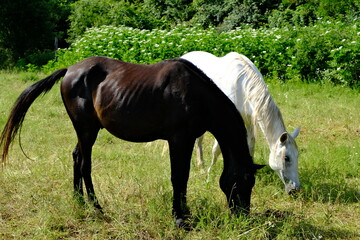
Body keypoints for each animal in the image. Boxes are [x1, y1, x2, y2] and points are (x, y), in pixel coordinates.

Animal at [0, 55, 264, 227]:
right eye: (244, 182)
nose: (243, 217)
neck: (196, 94)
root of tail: (70, 70)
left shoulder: (187, 140)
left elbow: (184, 177)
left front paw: (185, 212)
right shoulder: (179, 139)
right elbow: (178, 177)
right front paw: (179, 217)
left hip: (86, 131)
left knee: (76, 157)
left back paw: (79, 201)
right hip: (86, 130)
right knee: (85, 164)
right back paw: (97, 208)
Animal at [183, 50, 300, 193]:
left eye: (298, 155)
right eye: (286, 158)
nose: (295, 189)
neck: (242, 86)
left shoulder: (248, 122)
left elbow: (250, 146)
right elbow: (216, 150)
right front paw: (209, 176)